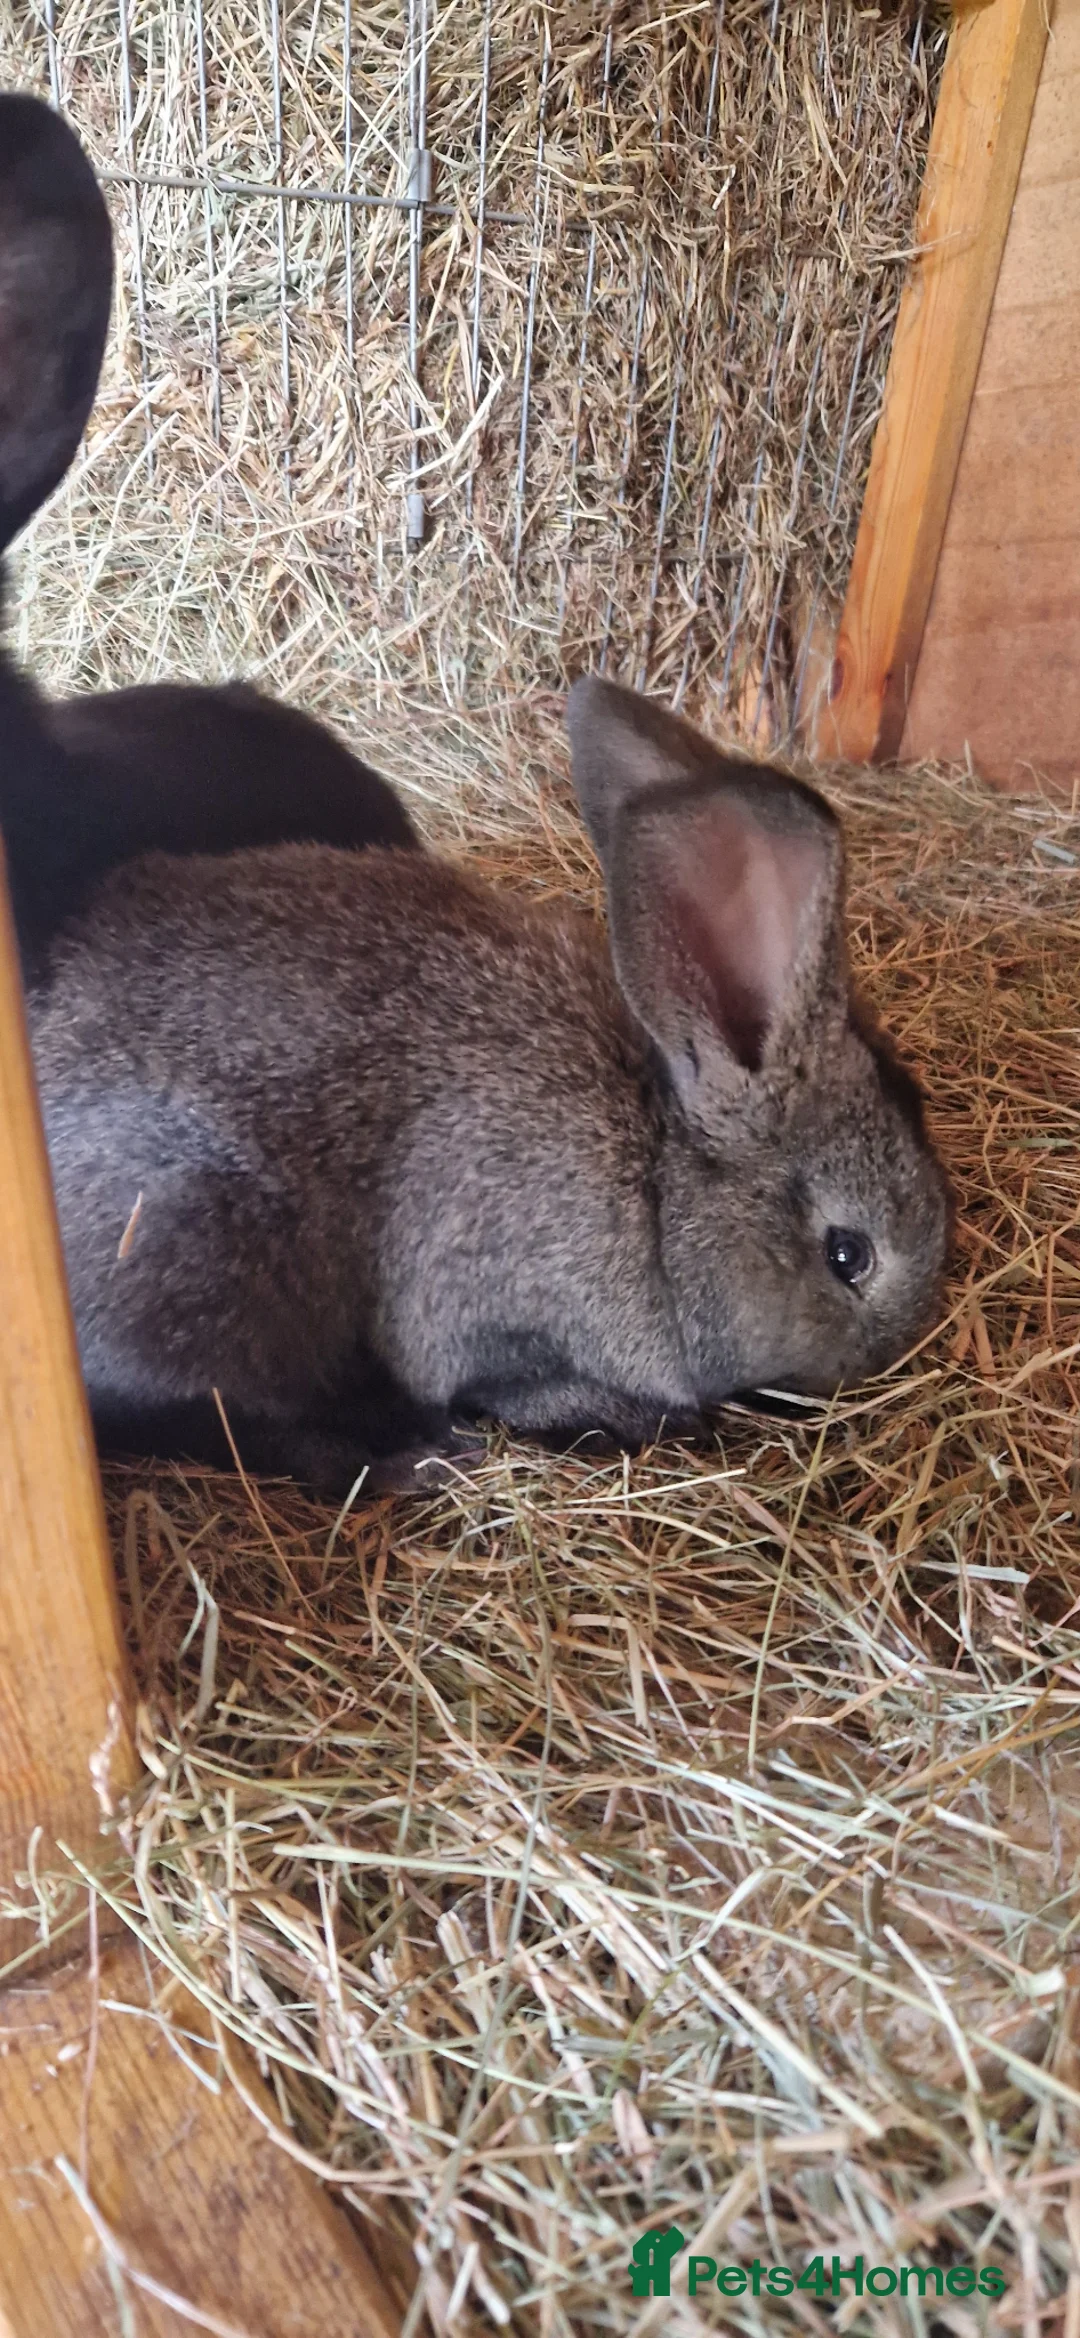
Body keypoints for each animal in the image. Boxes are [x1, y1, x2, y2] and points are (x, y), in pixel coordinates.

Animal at [29, 668, 951, 1497]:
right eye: (848, 1255)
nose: (892, 1350)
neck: (659, 1189)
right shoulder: (481, 1307)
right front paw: (628, 1418)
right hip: (202, 1258)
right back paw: (407, 1463)